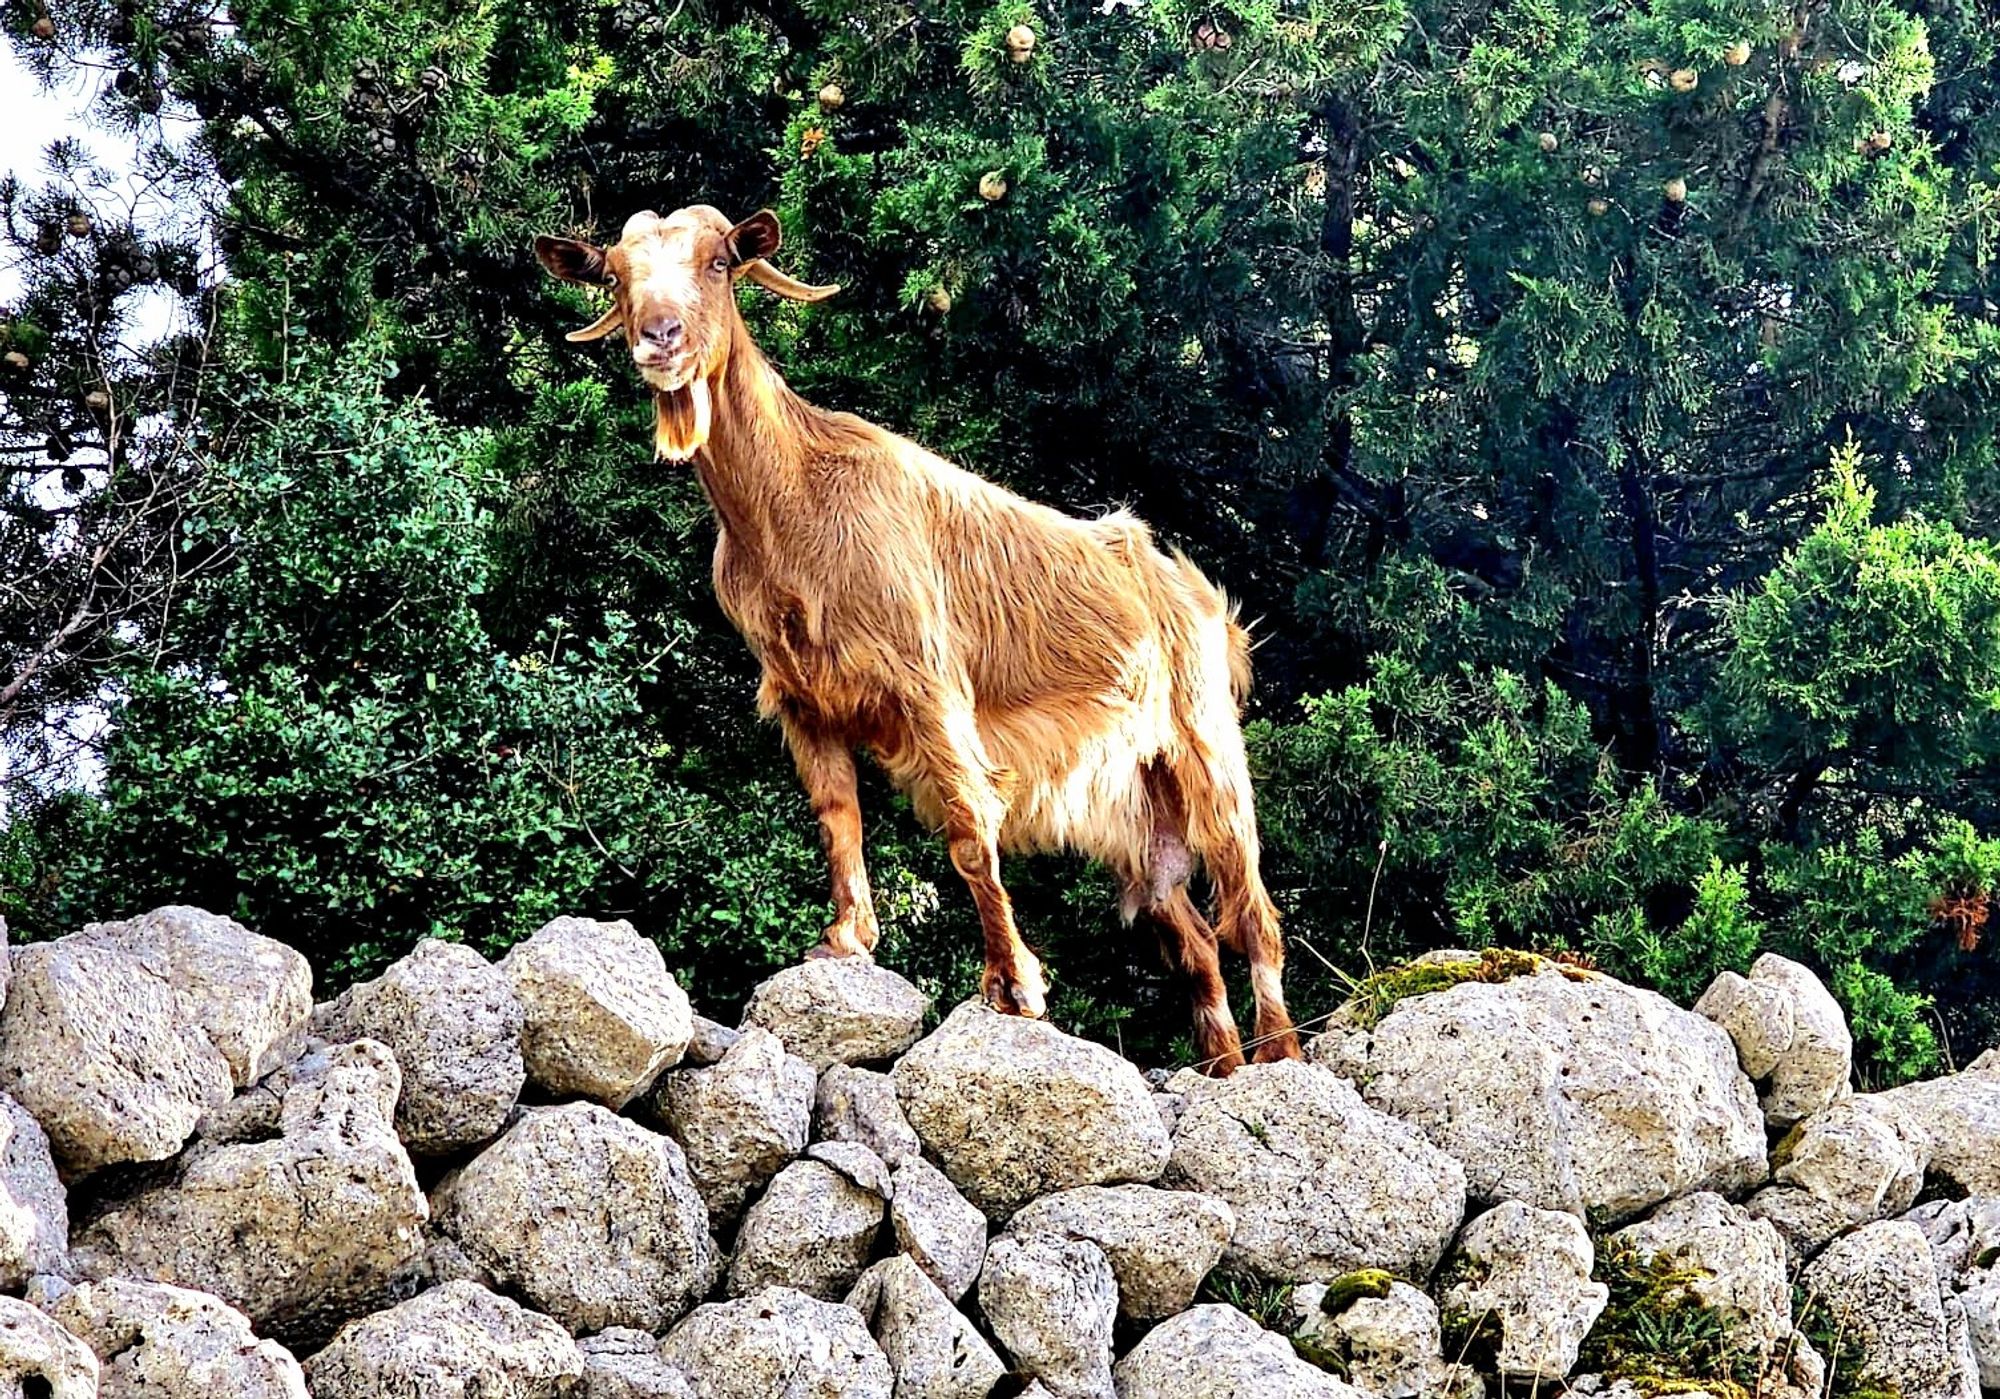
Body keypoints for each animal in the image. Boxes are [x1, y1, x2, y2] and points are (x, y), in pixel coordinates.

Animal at [540, 204, 1304, 1071]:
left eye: (718, 263)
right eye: (616, 276)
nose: (660, 337)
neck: (792, 506)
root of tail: (1207, 603)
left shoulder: (930, 686)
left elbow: (972, 833)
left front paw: (1016, 986)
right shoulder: (802, 699)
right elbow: (837, 812)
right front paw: (846, 938)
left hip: (1206, 746)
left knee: (1252, 913)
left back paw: (1280, 1058)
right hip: (1135, 811)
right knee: (1193, 936)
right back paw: (1225, 1063)